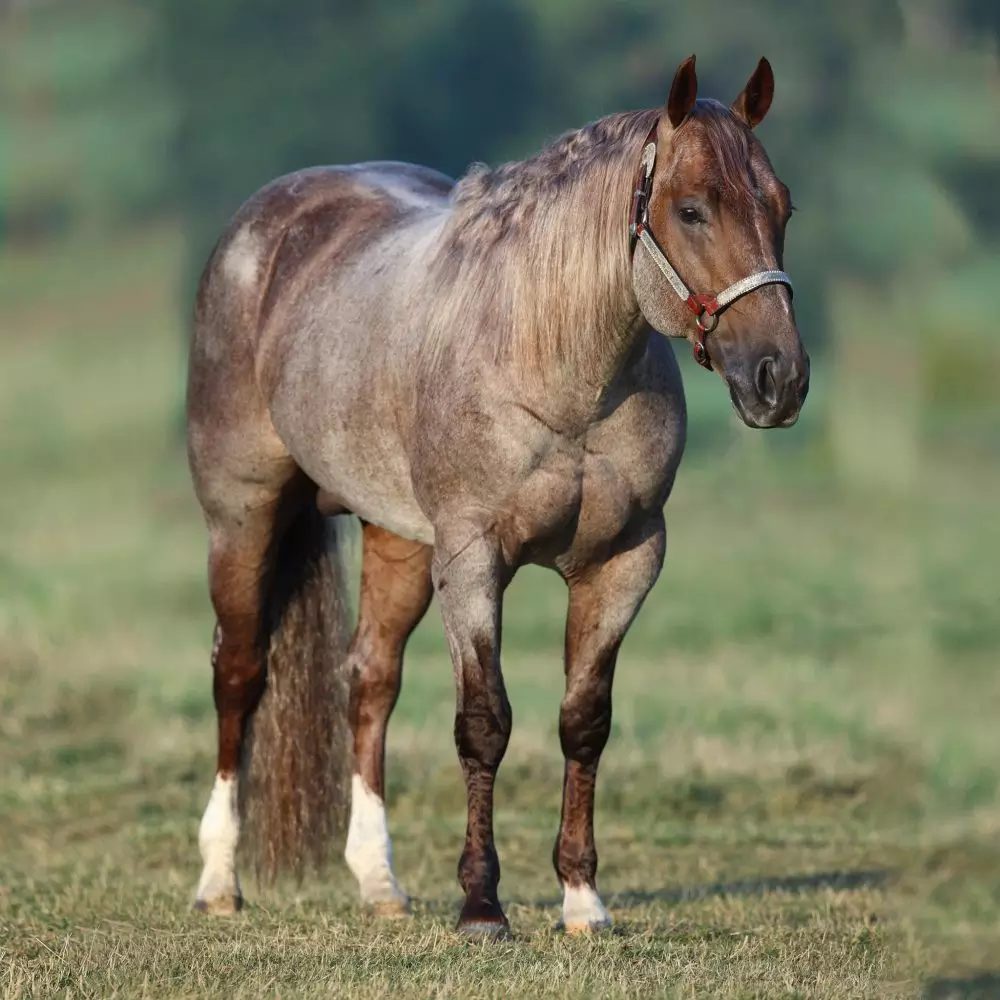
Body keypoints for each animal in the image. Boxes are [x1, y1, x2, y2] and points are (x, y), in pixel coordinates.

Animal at [186, 54, 809, 937]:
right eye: (691, 210)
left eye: (782, 205)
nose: (779, 379)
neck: (555, 358)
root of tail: (267, 223)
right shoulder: (476, 560)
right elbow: (485, 723)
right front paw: (482, 905)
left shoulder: (624, 563)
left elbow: (584, 722)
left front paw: (582, 900)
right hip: (242, 517)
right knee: (238, 672)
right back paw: (219, 879)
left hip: (399, 540)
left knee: (369, 680)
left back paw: (379, 882)